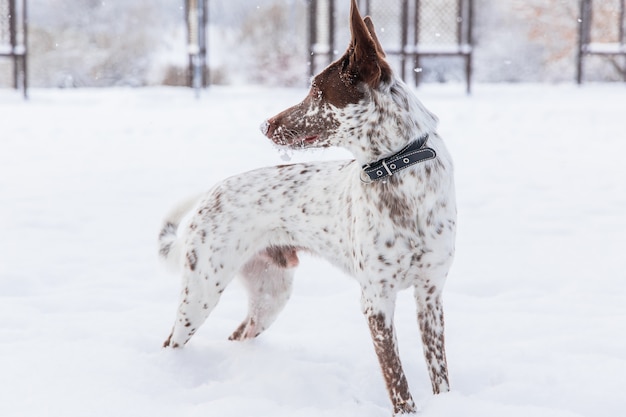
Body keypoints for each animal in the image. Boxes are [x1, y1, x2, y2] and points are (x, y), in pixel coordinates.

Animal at [158, 0, 456, 412]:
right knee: (172, 341)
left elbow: (439, 374)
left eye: (316, 90)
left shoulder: (431, 295)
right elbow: (398, 384)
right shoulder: (376, 301)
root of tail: (212, 193)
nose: (264, 125)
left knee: (241, 331)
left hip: (271, 295)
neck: (399, 168)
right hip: (200, 294)